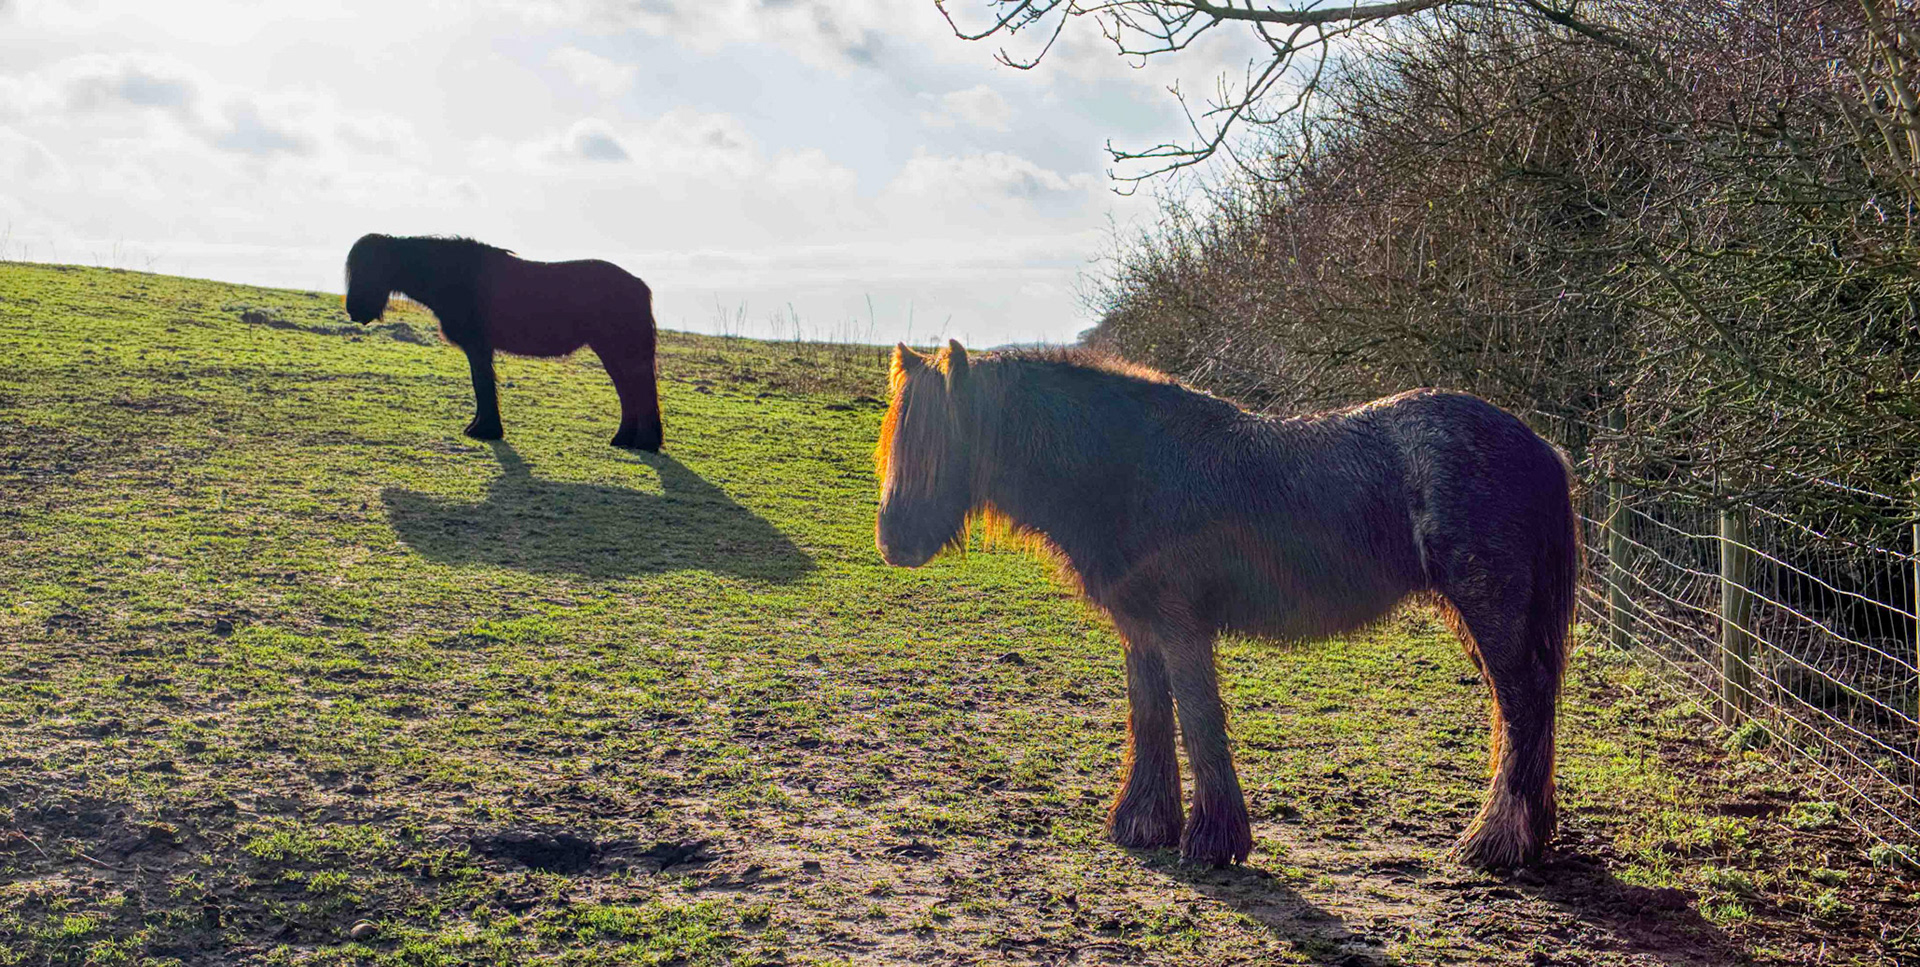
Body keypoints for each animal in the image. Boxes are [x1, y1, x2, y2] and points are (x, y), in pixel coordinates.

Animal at [343, 234, 662, 451]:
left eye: (369, 268)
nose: (354, 310)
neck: (454, 276)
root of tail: (639, 284)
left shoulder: (478, 347)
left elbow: (482, 384)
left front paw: (485, 430)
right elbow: (481, 385)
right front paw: (481, 426)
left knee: (639, 390)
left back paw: (644, 442)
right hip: (611, 351)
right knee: (629, 391)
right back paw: (625, 439)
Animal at [873, 341, 1578, 869]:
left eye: (942, 445)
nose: (893, 540)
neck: (1131, 467)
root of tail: (1541, 447)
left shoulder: (1182, 628)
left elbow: (1198, 719)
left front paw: (1213, 840)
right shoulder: (1140, 629)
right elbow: (1150, 715)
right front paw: (1144, 823)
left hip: (1492, 615)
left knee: (1522, 707)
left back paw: (1494, 843)